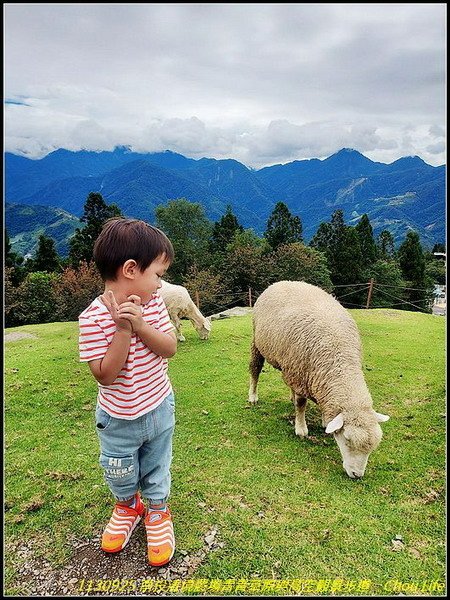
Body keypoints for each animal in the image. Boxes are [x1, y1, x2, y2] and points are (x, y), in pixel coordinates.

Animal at [248, 280, 388, 478]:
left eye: (372, 448)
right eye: (347, 440)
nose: (357, 475)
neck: (339, 358)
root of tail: (282, 282)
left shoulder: (311, 376)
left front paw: (324, 421)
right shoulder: (300, 374)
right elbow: (301, 405)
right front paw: (301, 429)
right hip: (258, 342)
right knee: (255, 369)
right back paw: (253, 396)